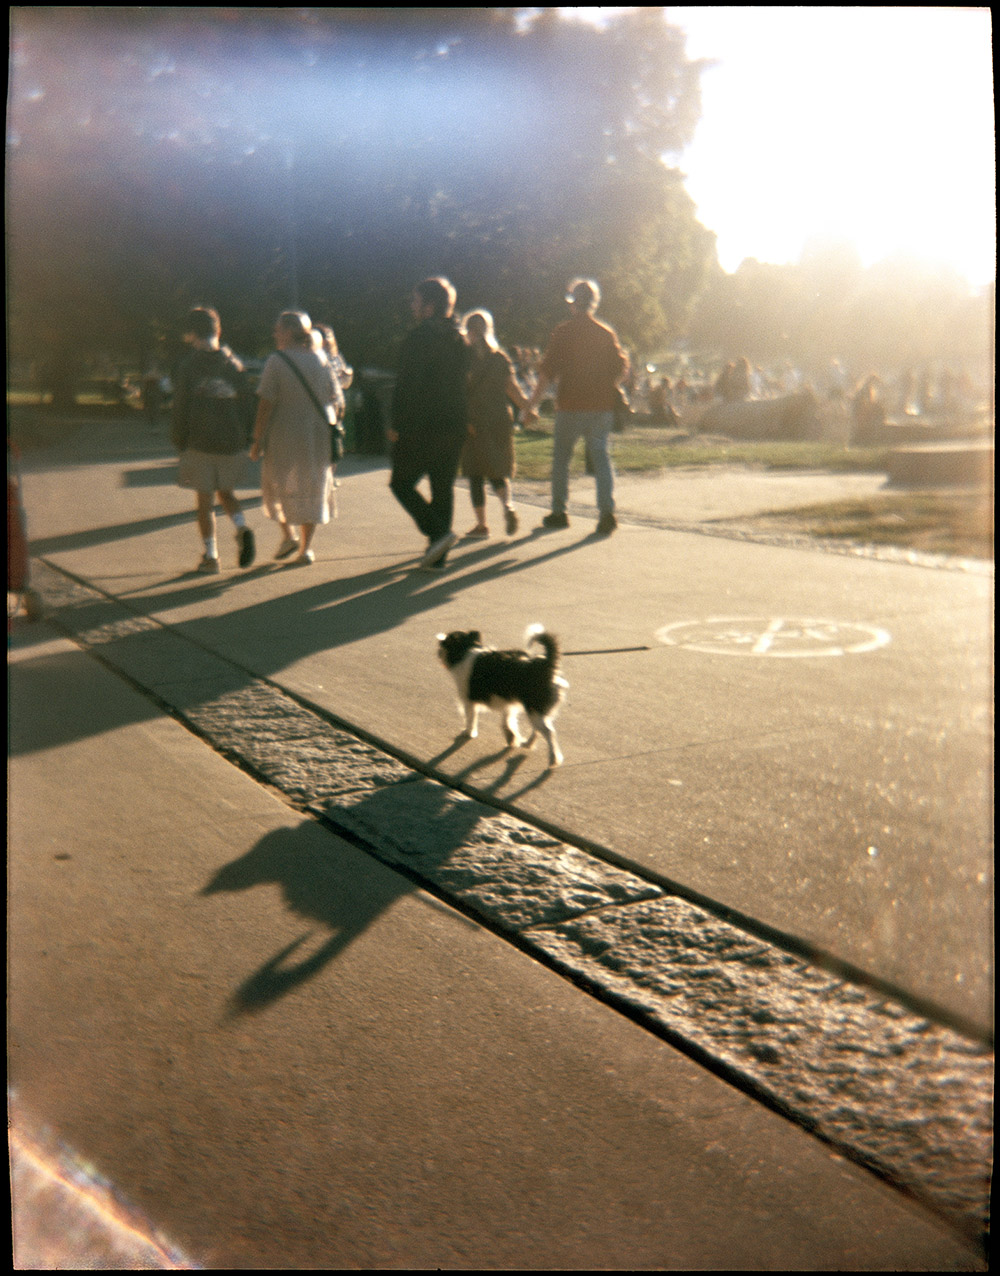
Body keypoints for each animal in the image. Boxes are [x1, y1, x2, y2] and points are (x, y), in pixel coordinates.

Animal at [433, 620, 566, 760]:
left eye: (444, 645)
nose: (438, 651)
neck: (466, 650)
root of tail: (547, 664)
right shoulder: (508, 702)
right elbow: (508, 721)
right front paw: (511, 737)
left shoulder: (469, 701)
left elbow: (471, 718)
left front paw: (468, 733)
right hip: (538, 710)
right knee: (539, 729)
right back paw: (528, 744)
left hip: (534, 707)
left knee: (548, 731)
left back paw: (554, 758)